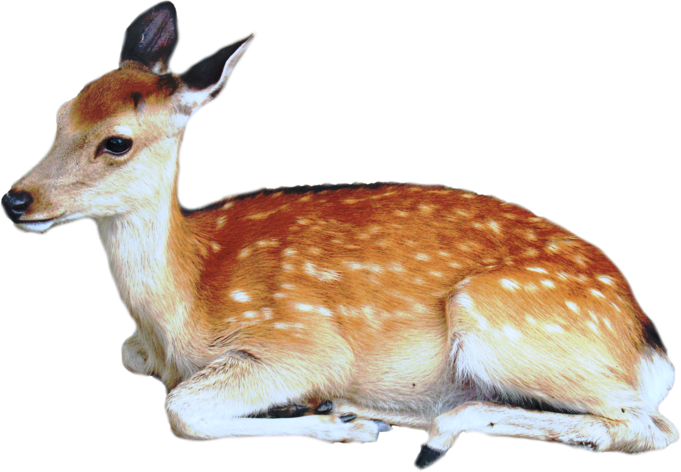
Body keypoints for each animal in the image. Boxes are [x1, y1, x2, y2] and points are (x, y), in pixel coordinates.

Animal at [1, 1, 679, 470]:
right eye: (59, 115)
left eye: (117, 141)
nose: (16, 199)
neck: (177, 309)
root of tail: (649, 342)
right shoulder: (141, 350)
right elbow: (133, 363)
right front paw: (336, 418)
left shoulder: (298, 343)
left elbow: (180, 410)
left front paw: (338, 427)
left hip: (501, 321)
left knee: (647, 427)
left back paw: (415, 432)